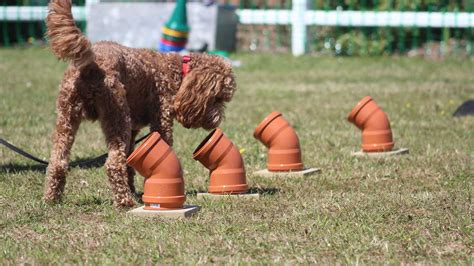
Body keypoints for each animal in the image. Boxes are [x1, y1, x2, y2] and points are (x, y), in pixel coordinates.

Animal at [44, 0, 237, 208]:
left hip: (67, 117)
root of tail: (91, 66)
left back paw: (52, 198)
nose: (217, 121)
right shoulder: (161, 120)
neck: (178, 71)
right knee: (113, 163)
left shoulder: (134, 129)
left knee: (58, 161)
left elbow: (130, 163)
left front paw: (136, 189)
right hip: (117, 116)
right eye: (217, 98)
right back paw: (125, 201)